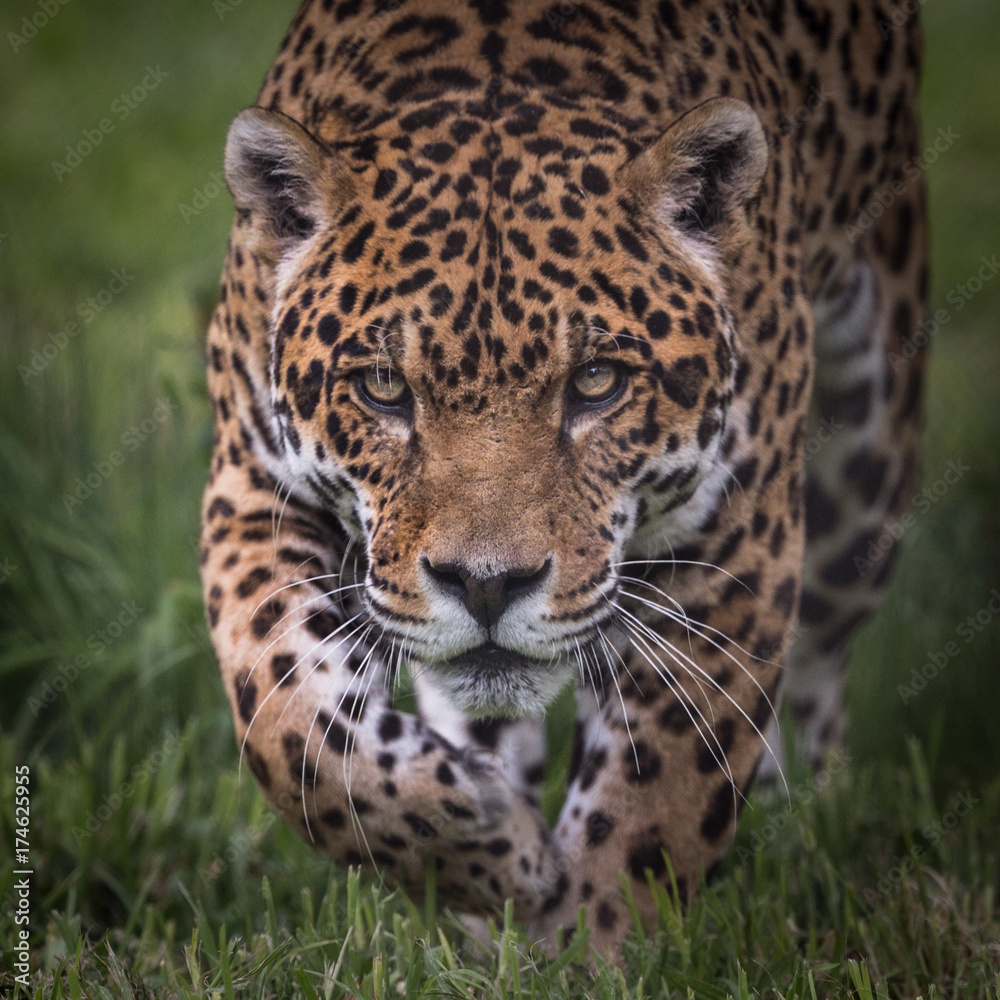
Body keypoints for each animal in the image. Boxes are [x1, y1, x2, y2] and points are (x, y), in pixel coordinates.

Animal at [199, 0, 927, 957]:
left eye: (597, 383)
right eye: (384, 388)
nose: (485, 584)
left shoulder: (735, 535)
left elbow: (662, 792)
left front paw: (594, 945)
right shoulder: (250, 485)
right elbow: (291, 722)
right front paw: (488, 851)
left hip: (865, 466)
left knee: (817, 674)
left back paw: (801, 816)